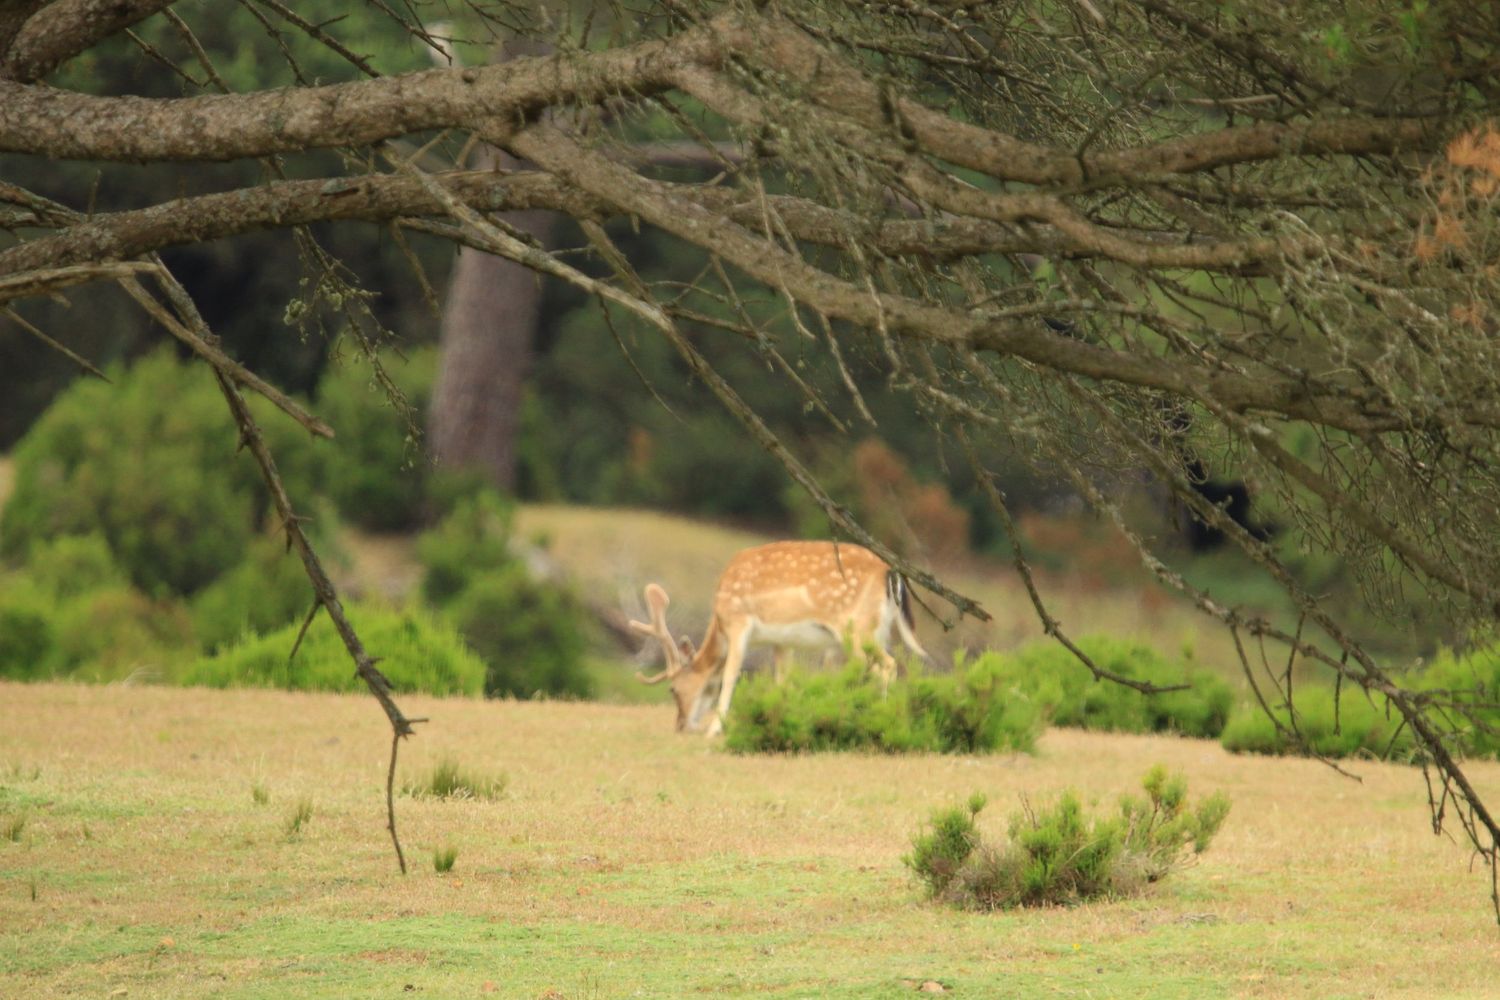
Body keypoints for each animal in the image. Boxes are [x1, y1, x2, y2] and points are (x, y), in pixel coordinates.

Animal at [628, 541, 930, 737]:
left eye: (673, 689)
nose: (680, 725)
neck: (719, 623)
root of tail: (891, 573)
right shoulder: (782, 641)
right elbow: (782, 680)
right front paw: (781, 717)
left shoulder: (739, 622)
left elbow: (730, 674)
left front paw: (715, 728)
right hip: (878, 630)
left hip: (855, 629)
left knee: (887, 666)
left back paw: (881, 718)